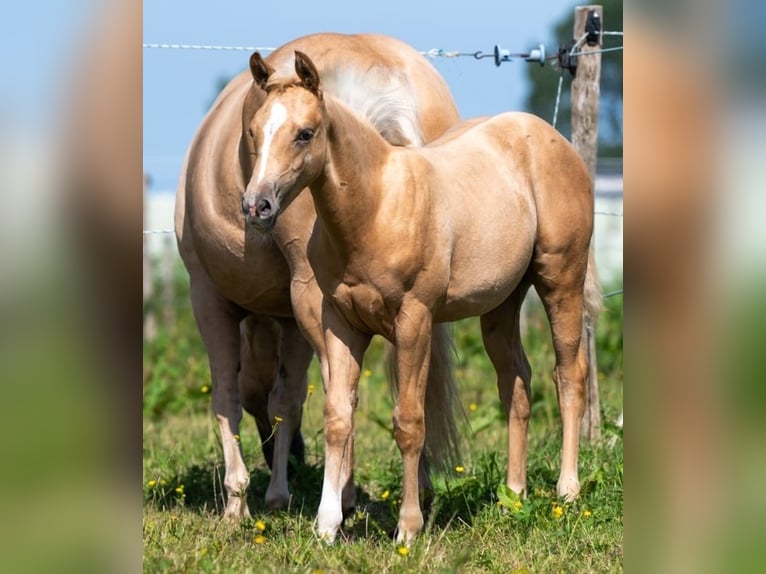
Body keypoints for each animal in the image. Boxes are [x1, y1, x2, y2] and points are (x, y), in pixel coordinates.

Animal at [174, 33, 462, 519]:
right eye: (252, 133)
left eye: (303, 134)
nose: (254, 207)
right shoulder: (290, 319)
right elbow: (285, 399)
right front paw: (277, 491)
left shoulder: (209, 296)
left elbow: (231, 396)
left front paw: (239, 500)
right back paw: (412, 490)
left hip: (314, 300)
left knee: (339, 393)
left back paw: (340, 496)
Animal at [244, 51, 602, 543]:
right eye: (254, 130)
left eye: (305, 132)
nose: (256, 206)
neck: (375, 209)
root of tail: (555, 141)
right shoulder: (341, 324)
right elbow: (337, 417)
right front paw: (327, 525)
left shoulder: (413, 321)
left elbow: (410, 422)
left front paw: (408, 529)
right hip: (501, 304)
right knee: (517, 384)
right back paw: (514, 496)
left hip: (561, 279)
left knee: (569, 375)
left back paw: (567, 491)